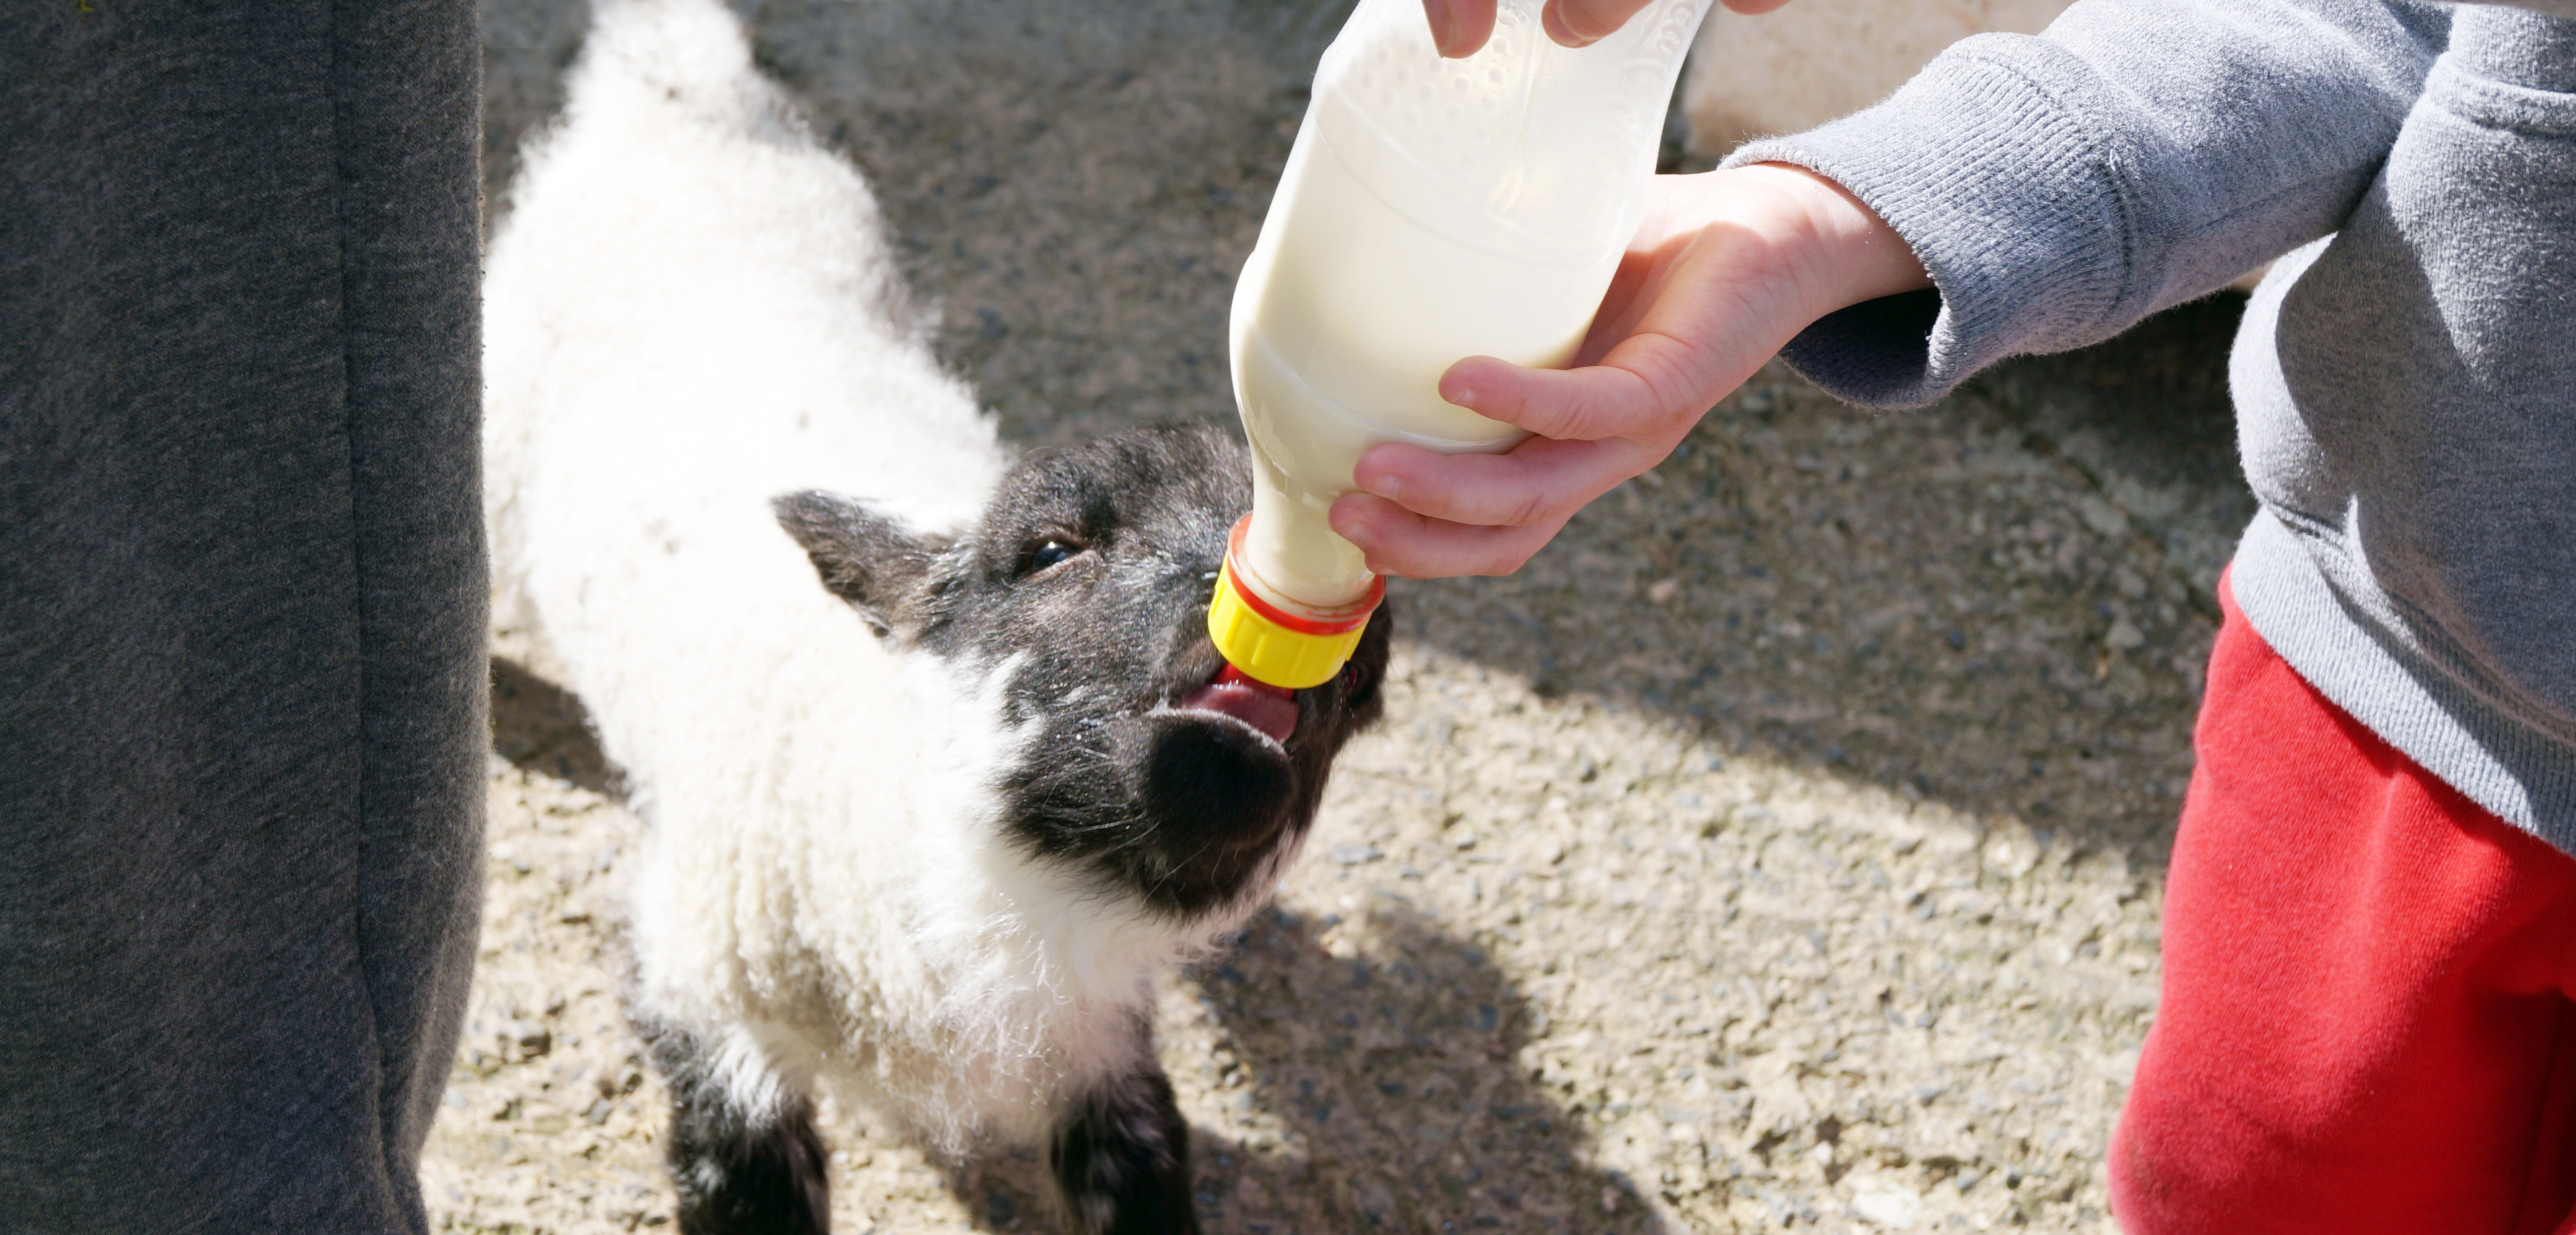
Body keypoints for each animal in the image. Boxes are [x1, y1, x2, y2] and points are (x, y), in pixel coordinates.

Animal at [479, 2, 1390, 1231]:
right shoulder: (702, 981)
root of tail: (677, 88)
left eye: (1369, 691)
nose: (1326, 633)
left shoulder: (1101, 1057)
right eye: (1049, 548)